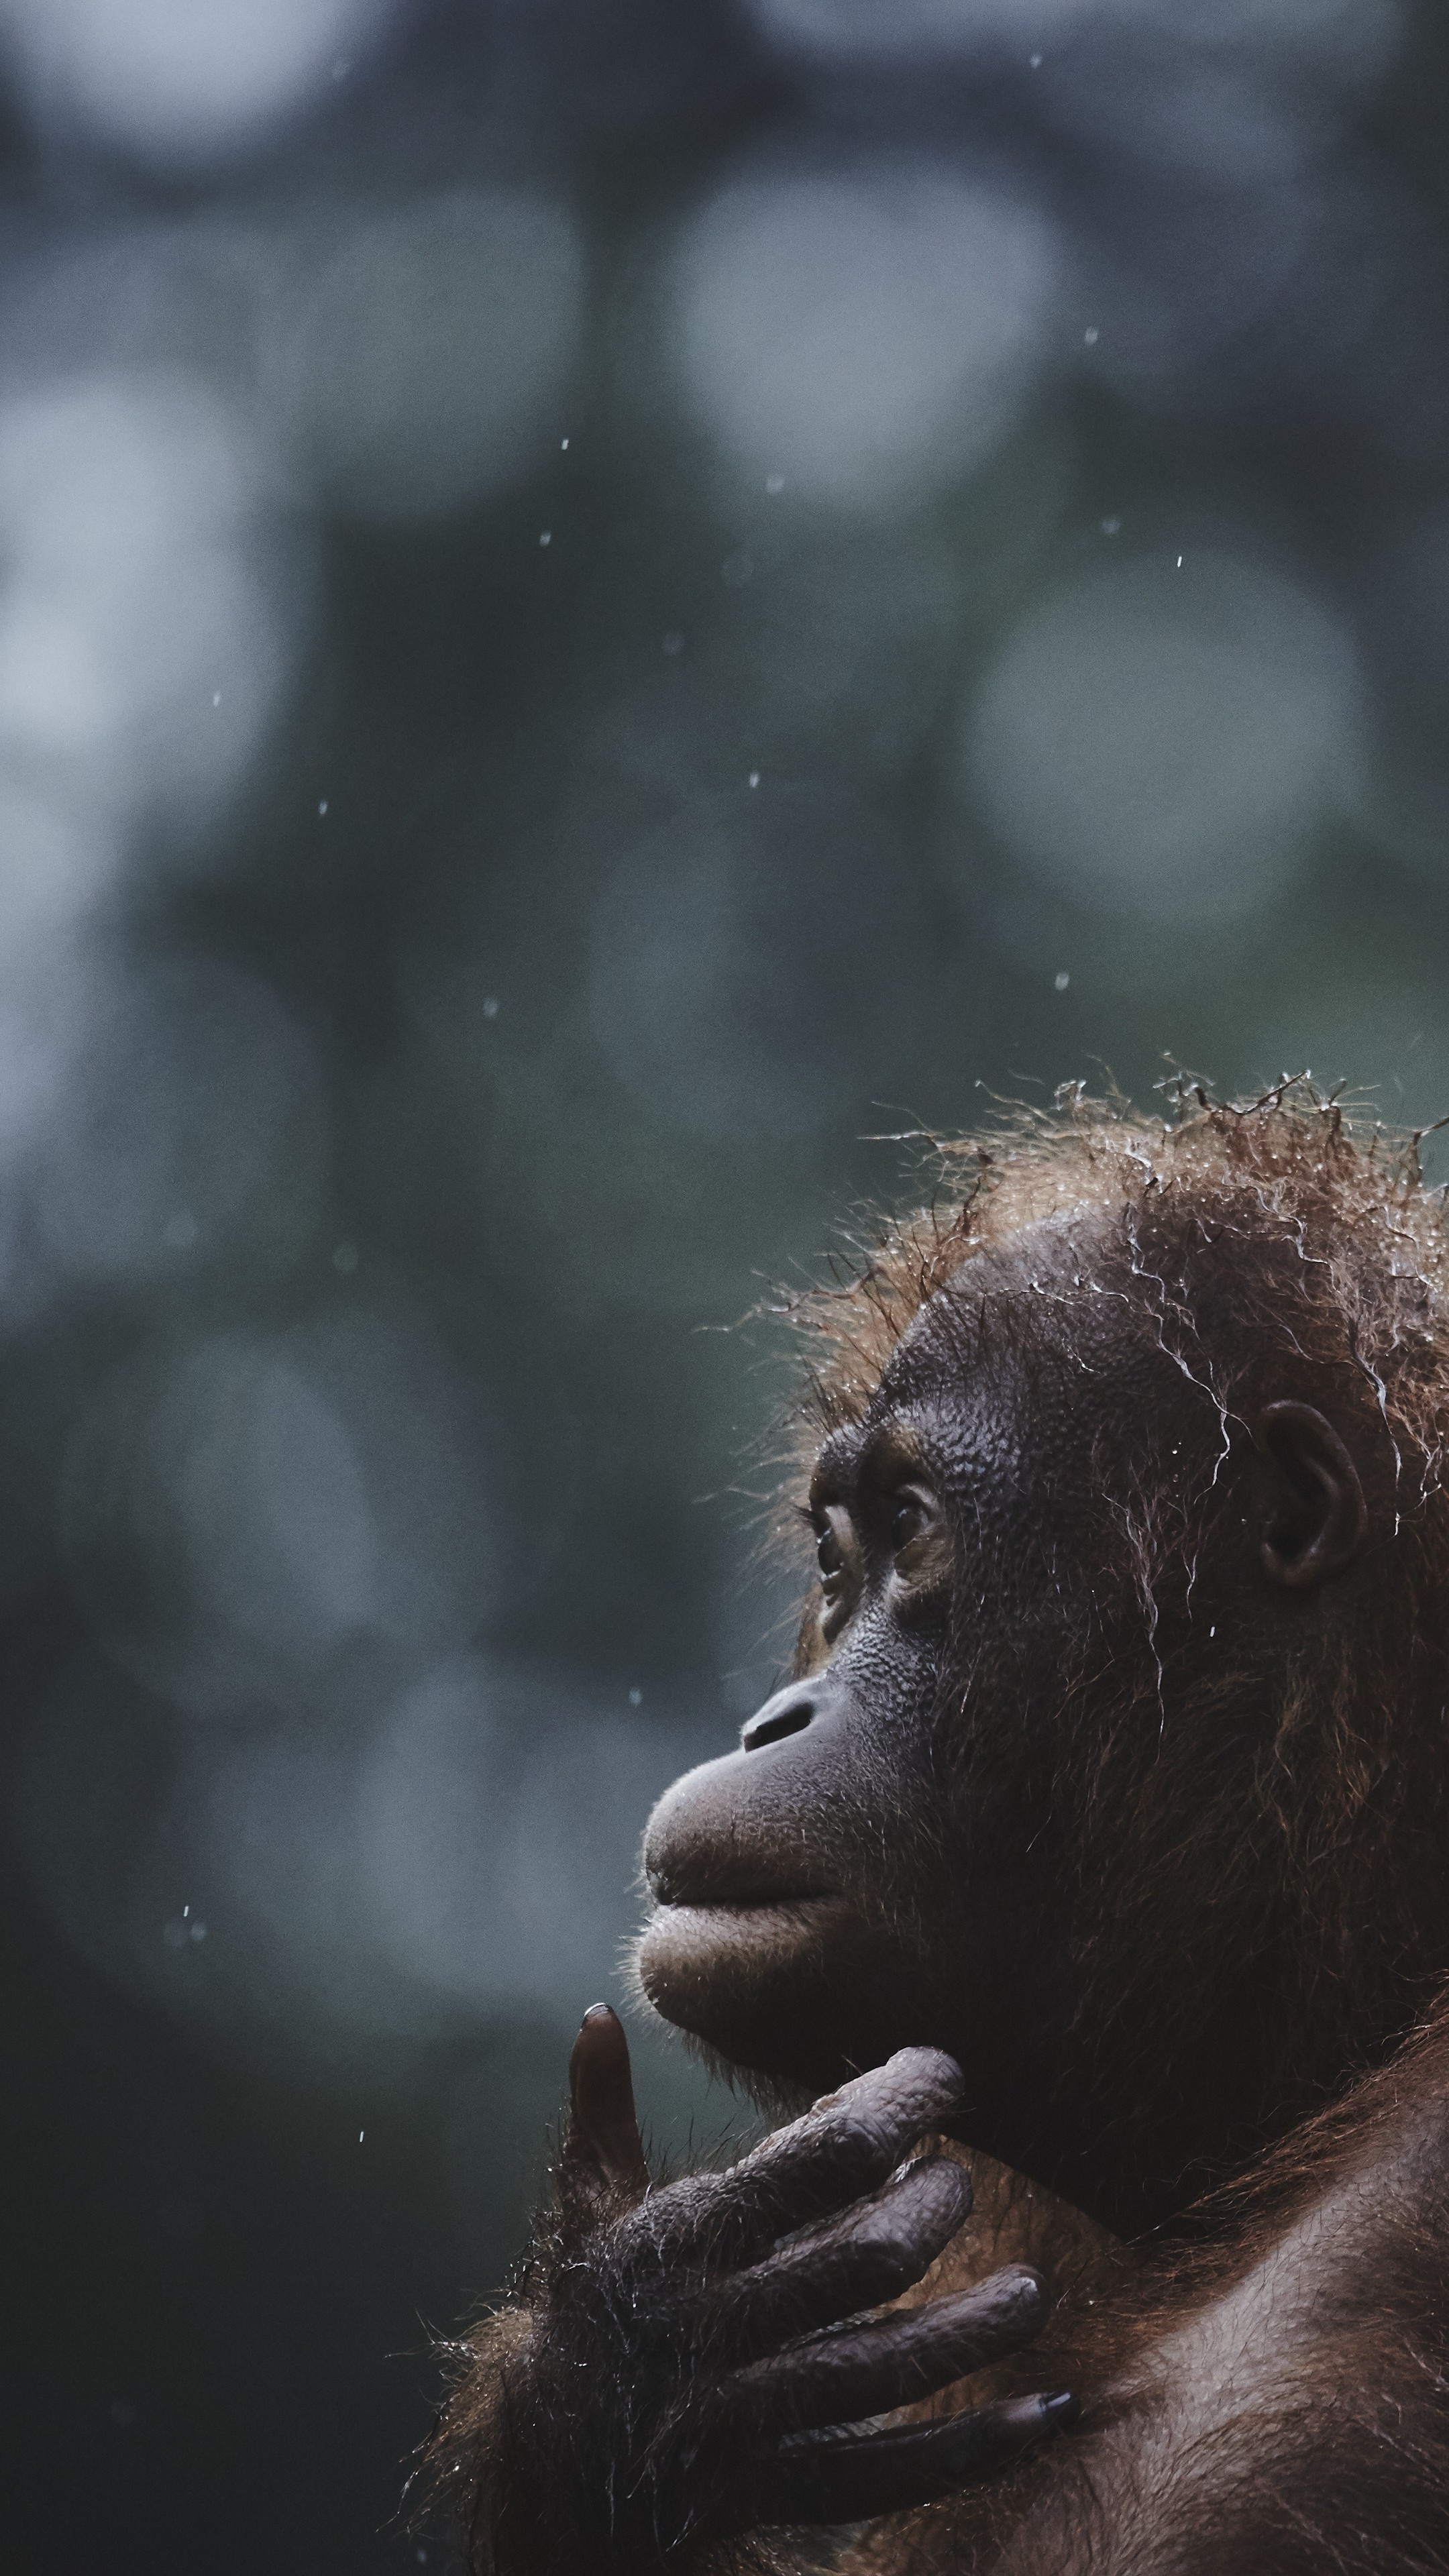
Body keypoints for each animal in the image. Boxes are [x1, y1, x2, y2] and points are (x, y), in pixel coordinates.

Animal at [428, 1083, 1449, 2575]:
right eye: (836, 1556)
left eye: (913, 1527)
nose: (772, 1722)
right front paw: (625, 2382)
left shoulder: (1404, 2213)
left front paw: (644, 2378)